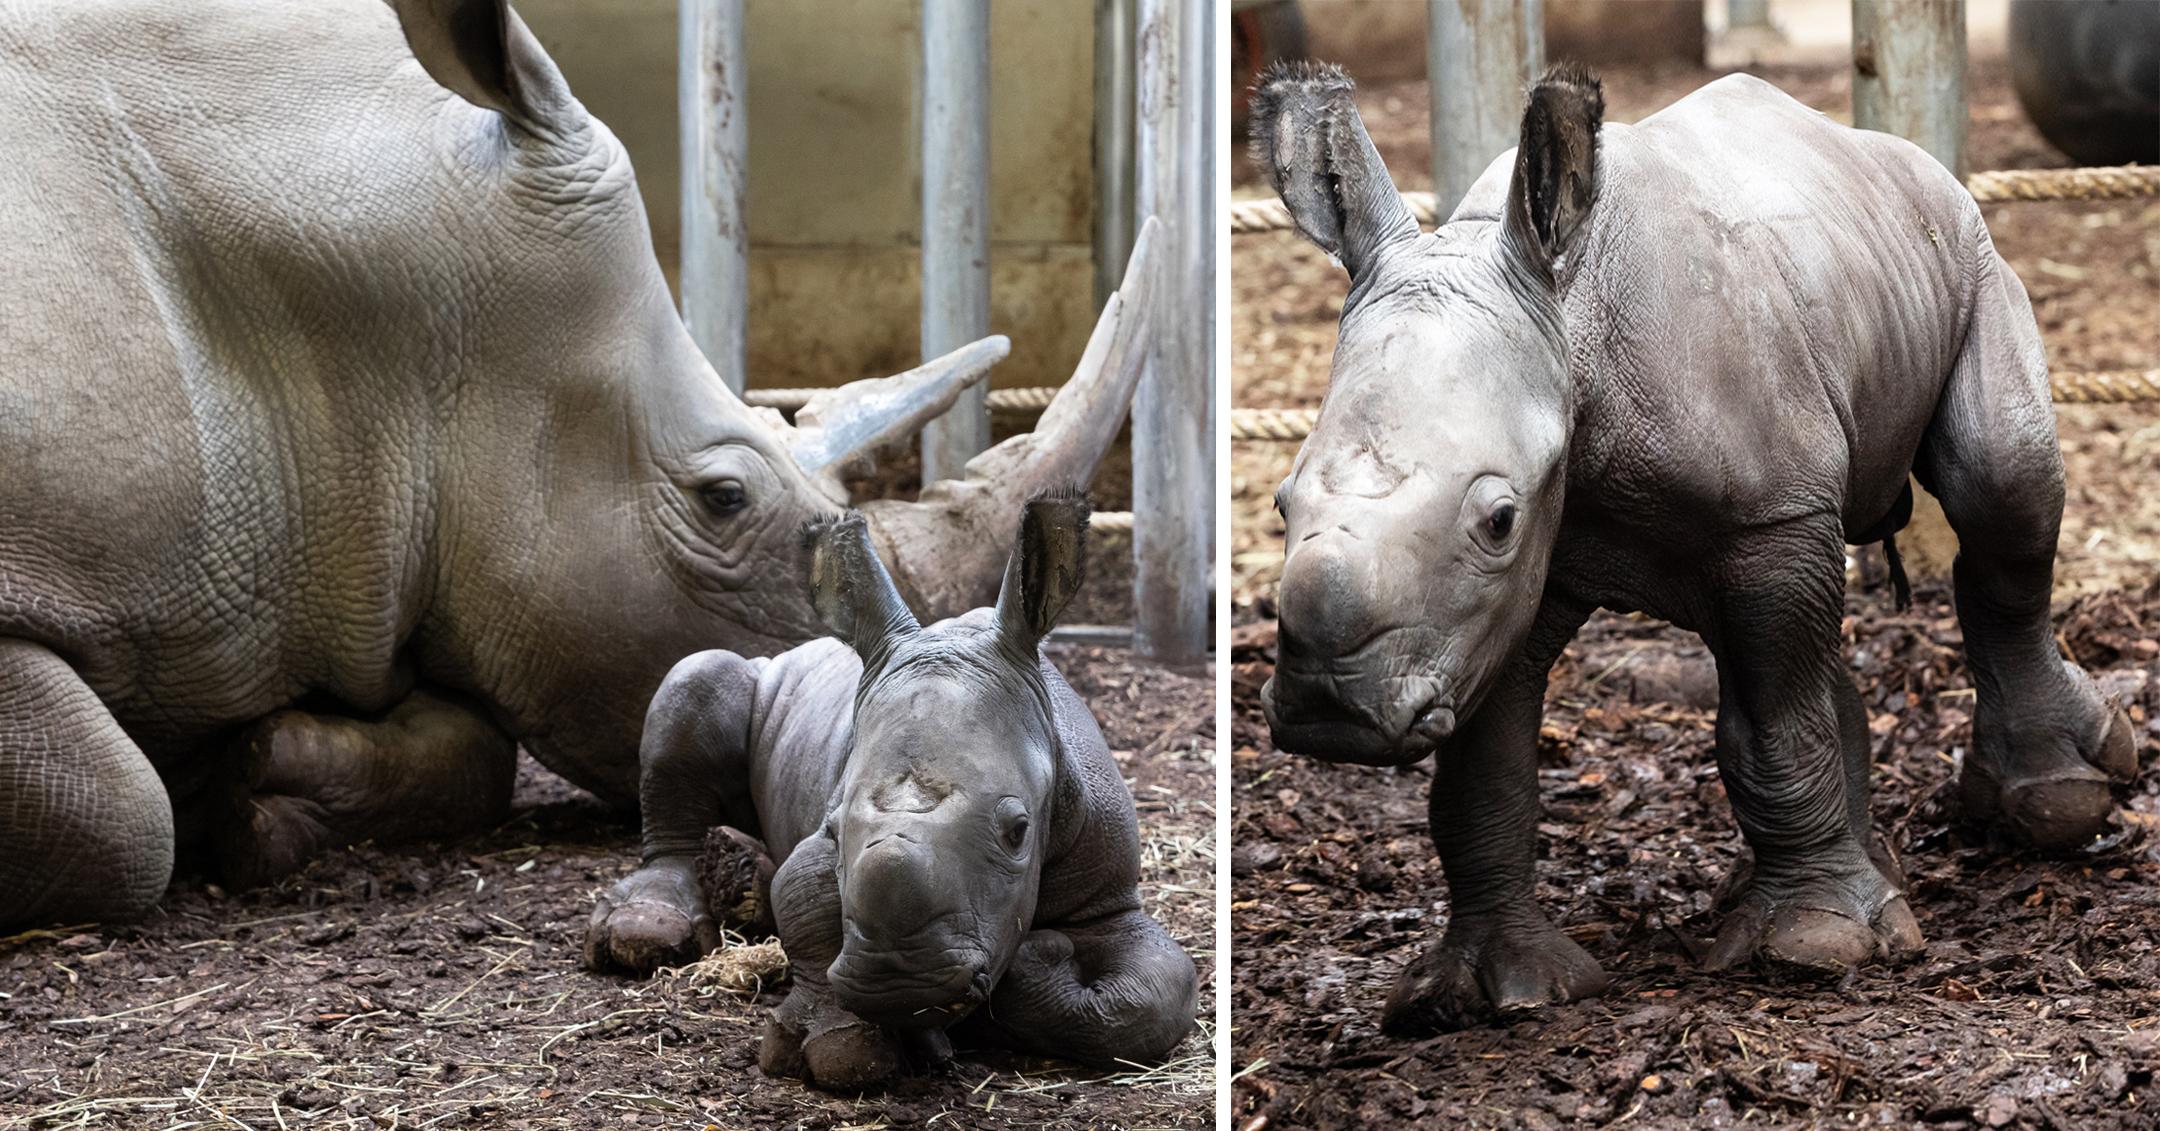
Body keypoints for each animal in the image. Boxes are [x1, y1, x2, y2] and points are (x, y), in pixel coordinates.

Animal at [587, 492, 1200, 1087]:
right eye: (835, 829)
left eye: (1018, 832)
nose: (899, 983)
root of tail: (791, 649)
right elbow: (806, 900)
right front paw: (843, 1049)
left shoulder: (1108, 891)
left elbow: (1153, 998)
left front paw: (1034, 961)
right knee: (697, 676)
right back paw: (651, 926)